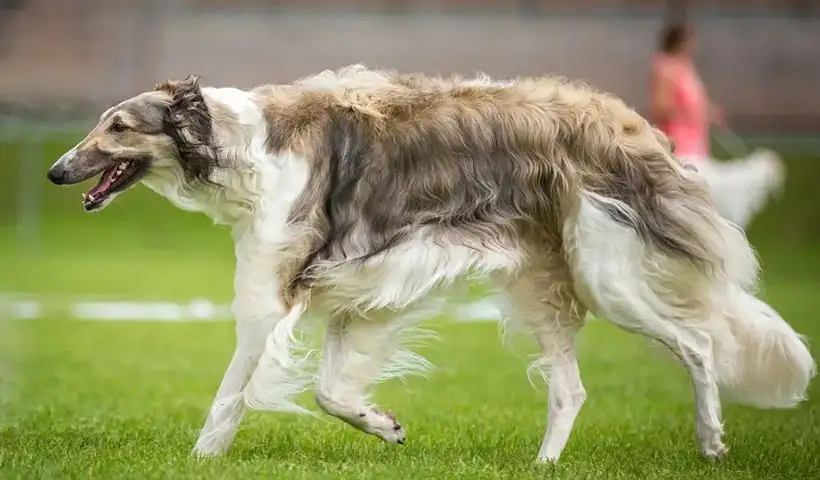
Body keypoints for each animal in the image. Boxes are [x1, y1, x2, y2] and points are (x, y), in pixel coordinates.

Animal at [44, 65, 812, 464]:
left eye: (118, 126)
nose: (55, 172)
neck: (239, 145)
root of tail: (630, 125)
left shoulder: (273, 297)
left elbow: (232, 397)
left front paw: (201, 460)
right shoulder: (361, 294)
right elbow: (331, 393)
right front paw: (384, 425)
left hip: (608, 276)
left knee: (700, 341)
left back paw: (712, 440)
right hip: (541, 285)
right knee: (571, 390)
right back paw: (543, 465)